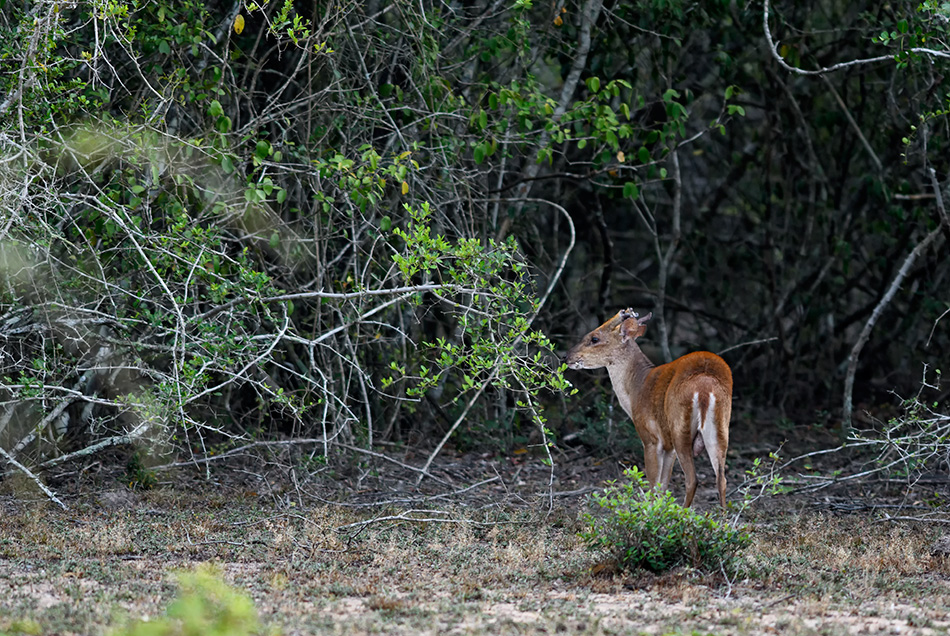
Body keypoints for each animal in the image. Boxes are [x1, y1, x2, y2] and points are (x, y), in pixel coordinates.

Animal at [568, 308, 732, 506]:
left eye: (594, 338)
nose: (567, 357)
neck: (636, 390)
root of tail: (705, 386)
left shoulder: (651, 438)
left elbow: (653, 486)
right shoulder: (669, 446)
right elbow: (663, 486)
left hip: (680, 428)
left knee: (692, 479)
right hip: (720, 428)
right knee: (721, 479)